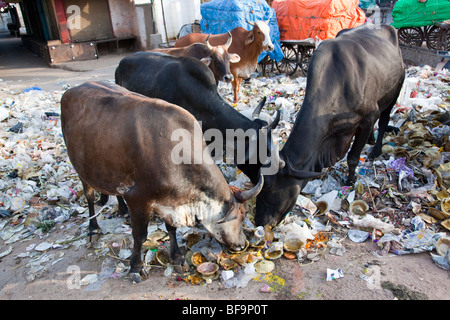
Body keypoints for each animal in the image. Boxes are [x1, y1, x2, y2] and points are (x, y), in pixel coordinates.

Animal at [60, 80, 264, 282]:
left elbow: (171, 228)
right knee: (89, 196)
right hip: (81, 168)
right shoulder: (138, 199)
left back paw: (122, 210)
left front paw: (177, 257)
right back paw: (93, 229)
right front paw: (135, 267)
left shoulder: (170, 203)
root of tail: (72, 90)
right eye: (241, 215)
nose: (242, 244)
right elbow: (140, 236)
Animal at [255, 24, 406, 225]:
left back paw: (375, 149)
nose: (259, 221)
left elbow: (353, 157)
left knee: (383, 121)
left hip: (394, 91)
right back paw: (372, 141)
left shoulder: (367, 119)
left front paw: (350, 180)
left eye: (270, 189)